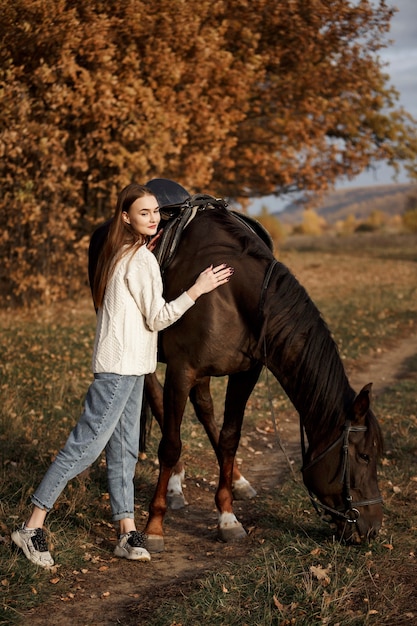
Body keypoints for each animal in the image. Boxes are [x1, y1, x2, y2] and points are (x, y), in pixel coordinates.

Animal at [140, 194, 384, 544]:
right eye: (364, 455)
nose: (374, 527)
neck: (231, 293)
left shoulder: (245, 374)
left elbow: (230, 437)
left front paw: (227, 516)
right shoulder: (181, 370)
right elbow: (171, 444)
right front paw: (154, 526)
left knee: (204, 408)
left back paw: (236, 481)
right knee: (159, 403)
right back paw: (174, 486)